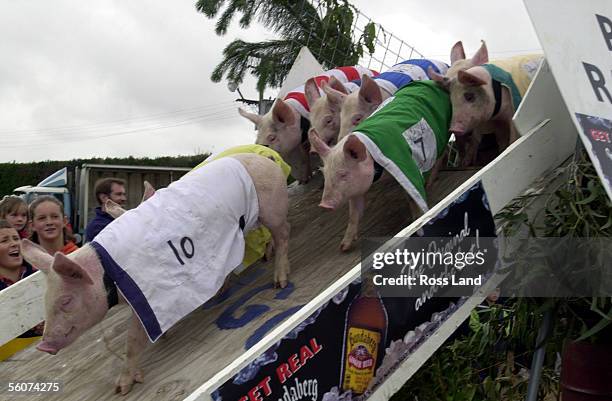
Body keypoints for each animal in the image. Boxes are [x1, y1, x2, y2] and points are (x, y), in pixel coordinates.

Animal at [20, 152, 292, 394]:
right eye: (45, 301)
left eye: (66, 301)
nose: (43, 346)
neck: (108, 275)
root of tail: (266, 159)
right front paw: (165, 334)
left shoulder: (149, 291)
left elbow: (133, 340)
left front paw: (122, 388)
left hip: (274, 208)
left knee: (283, 235)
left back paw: (279, 282)